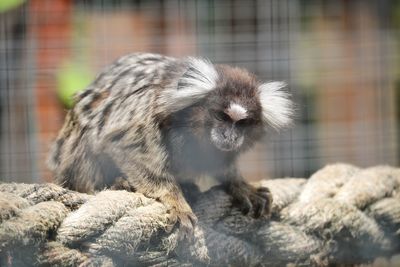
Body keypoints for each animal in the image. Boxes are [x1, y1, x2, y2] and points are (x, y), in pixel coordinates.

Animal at [47, 53, 294, 238]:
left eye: (242, 123)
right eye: (221, 117)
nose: (229, 136)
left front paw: (241, 185)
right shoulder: (144, 110)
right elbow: (126, 146)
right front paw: (175, 201)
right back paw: (115, 184)